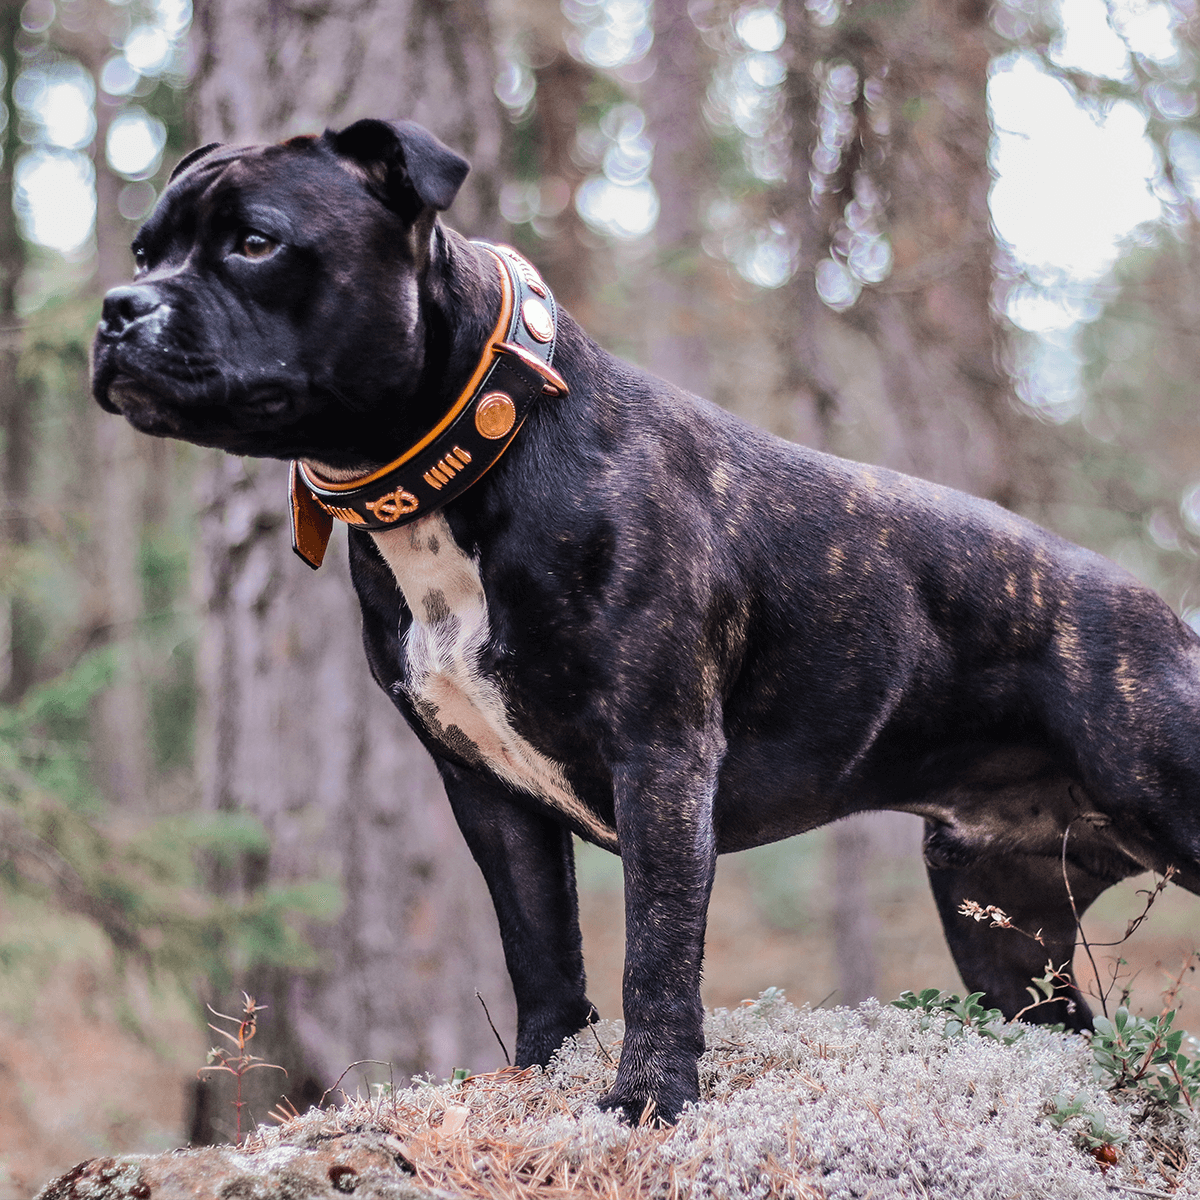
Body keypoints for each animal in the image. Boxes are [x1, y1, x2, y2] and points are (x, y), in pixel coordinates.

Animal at [91, 119, 1200, 1123]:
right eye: (145, 250)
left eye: (255, 242)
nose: (115, 308)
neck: (477, 450)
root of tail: (1170, 619)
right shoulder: (489, 790)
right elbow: (541, 948)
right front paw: (540, 1076)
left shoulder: (661, 758)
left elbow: (657, 952)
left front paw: (649, 1100)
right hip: (1001, 922)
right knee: (1061, 1027)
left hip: (1161, 805)